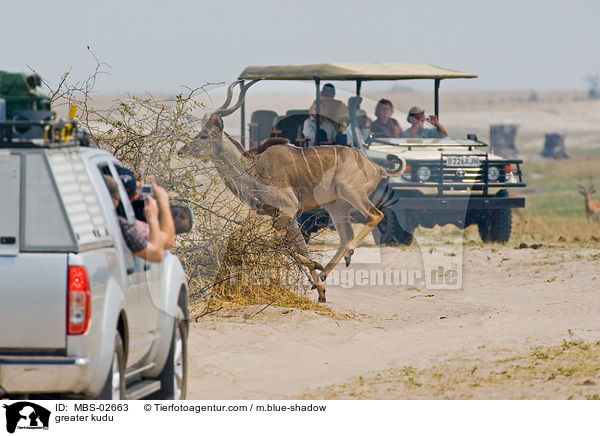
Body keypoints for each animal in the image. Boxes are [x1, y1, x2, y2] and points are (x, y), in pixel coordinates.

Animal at [191, 80, 408, 302]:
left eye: (204, 135)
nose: (183, 150)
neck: (254, 168)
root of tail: (376, 167)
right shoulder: (288, 215)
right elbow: (297, 246)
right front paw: (320, 289)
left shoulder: (288, 208)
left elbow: (276, 243)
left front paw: (315, 272)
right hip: (336, 207)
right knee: (346, 236)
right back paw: (326, 271)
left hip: (351, 193)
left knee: (374, 216)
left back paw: (345, 255)